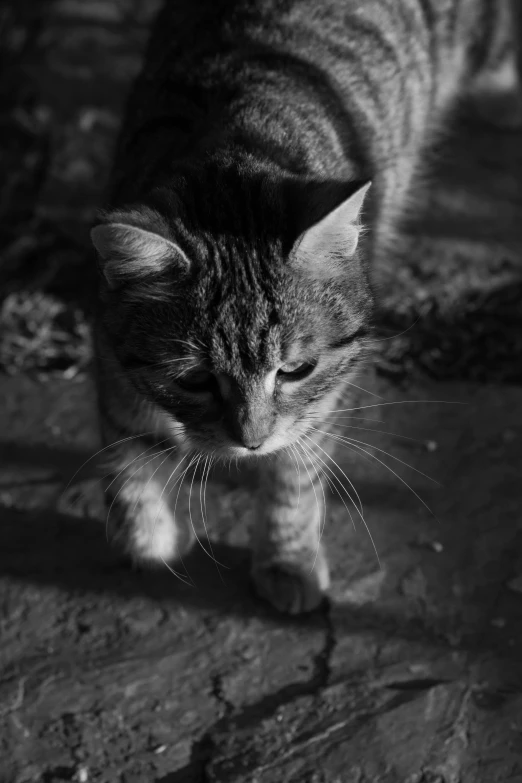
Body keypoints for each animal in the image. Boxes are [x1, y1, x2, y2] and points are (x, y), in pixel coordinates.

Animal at [90, 0, 520, 612]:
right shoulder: (111, 356)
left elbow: (294, 478)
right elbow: (129, 449)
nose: (250, 442)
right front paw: (146, 537)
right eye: (194, 380)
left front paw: (287, 560)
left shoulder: (323, 401)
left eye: (296, 370)